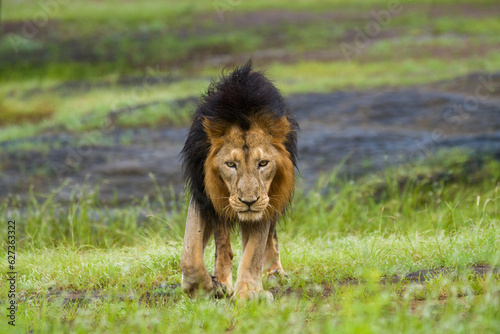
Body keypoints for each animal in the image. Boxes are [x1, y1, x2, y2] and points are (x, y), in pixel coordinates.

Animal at [179, 61, 296, 302]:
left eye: (263, 163)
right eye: (230, 164)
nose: (248, 201)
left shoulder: (265, 201)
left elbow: (254, 251)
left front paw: (248, 292)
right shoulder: (203, 195)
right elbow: (191, 256)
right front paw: (207, 287)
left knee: (268, 237)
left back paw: (273, 273)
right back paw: (222, 281)